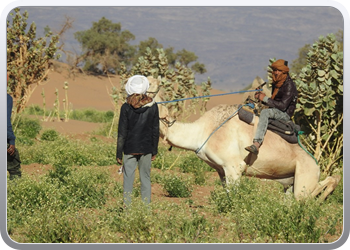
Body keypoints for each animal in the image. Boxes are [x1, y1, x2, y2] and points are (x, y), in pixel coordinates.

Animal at [147, 75, 340, 201]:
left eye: (149, 88)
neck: (203, 131)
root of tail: (314, 161)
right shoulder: (221, 170)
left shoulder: (234, 166)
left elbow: (234, 199)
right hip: (291, 182)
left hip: (306, 174)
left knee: (312, 191)